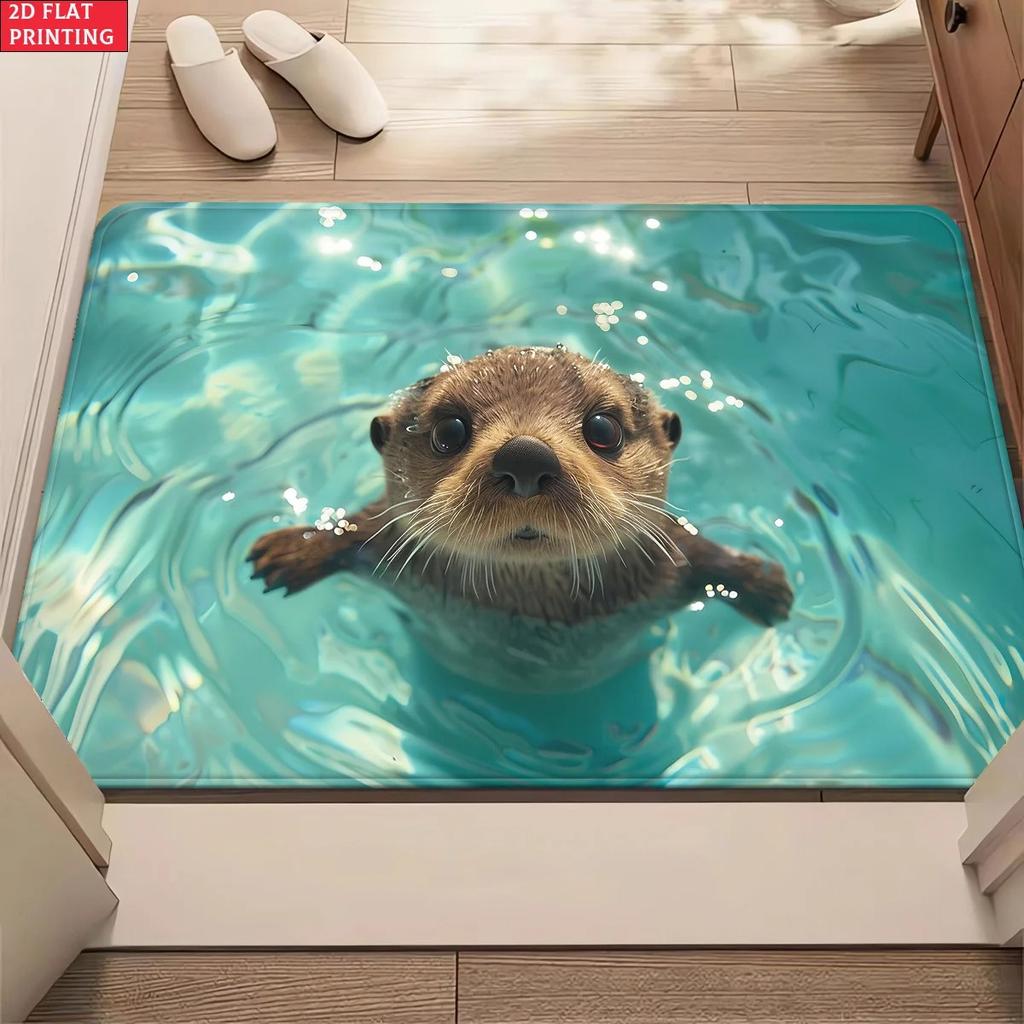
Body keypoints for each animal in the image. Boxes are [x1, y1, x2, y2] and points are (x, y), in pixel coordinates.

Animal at [248, 346, 793, 686]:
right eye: (449, 430)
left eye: (603, 428)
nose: (526, 456)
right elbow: (357, 530)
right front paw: (292, 551)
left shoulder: (668, 565)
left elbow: (704, 554)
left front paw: (763, 584)